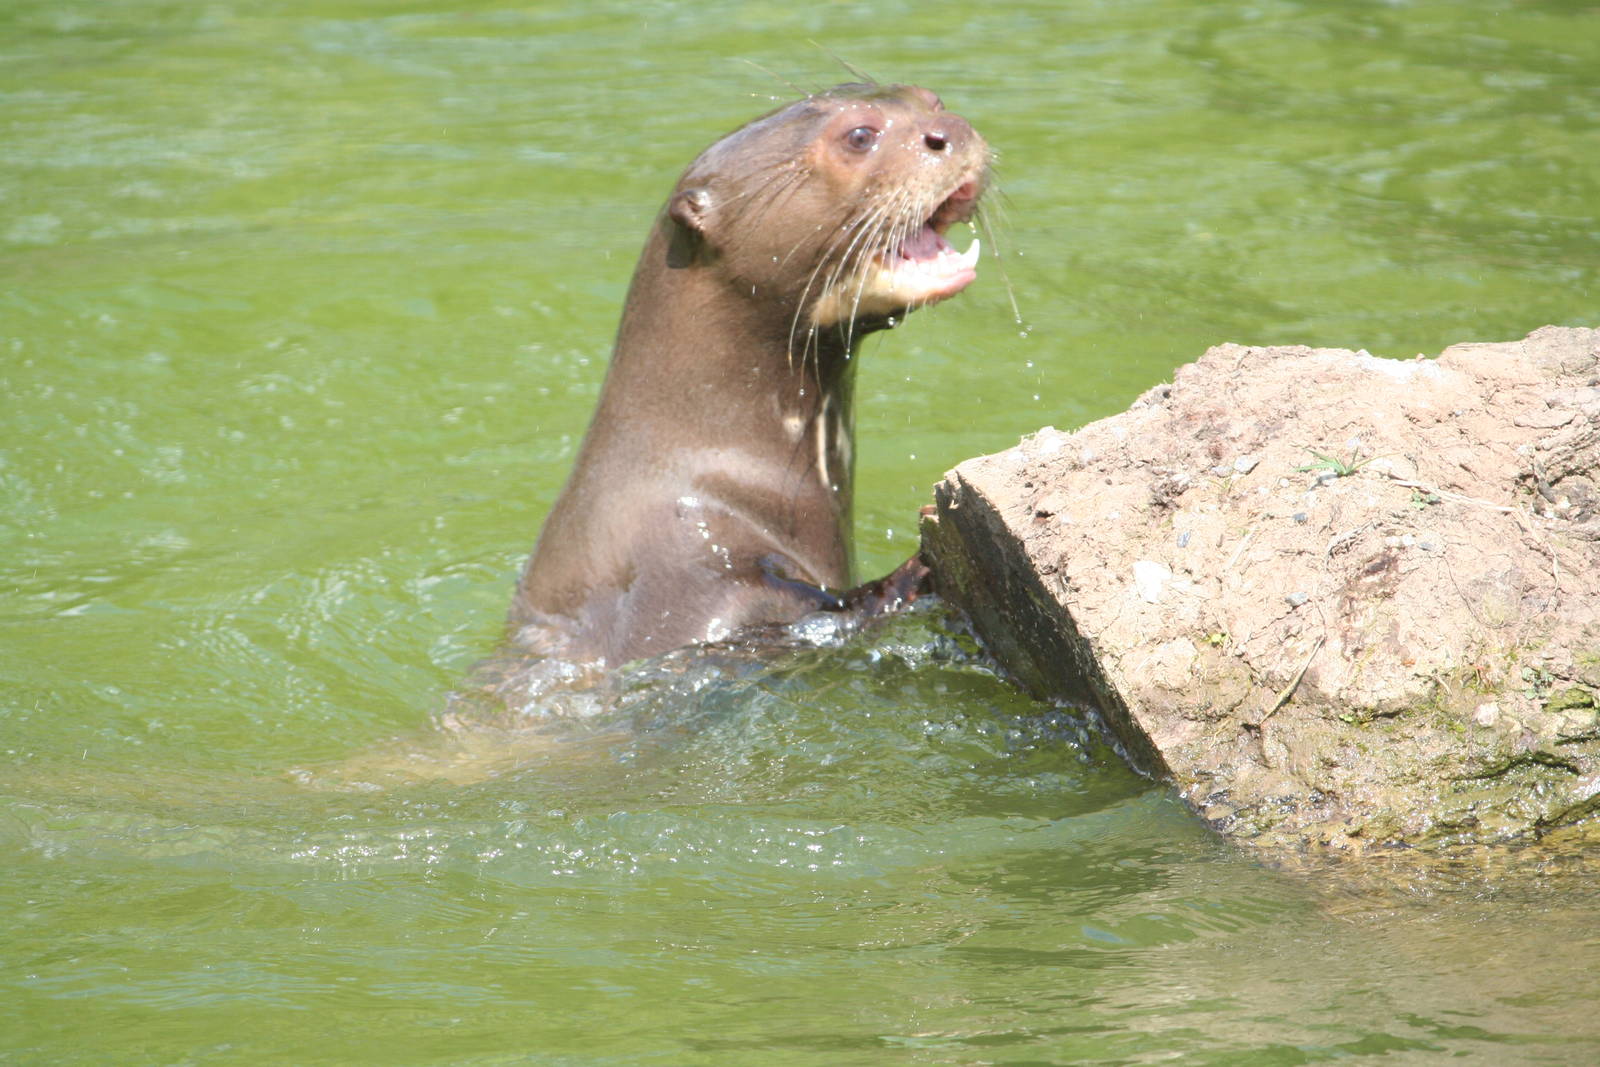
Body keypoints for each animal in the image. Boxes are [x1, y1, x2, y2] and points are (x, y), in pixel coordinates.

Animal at [509, 83, 989, 671]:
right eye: (859, 135)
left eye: (931, 100)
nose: (952, 131)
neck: (704, 457)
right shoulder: (693, 576)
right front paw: (919, 563)